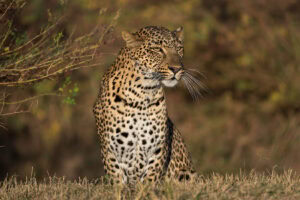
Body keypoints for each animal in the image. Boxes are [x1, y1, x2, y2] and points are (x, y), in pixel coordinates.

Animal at [92, 25, 203, 185]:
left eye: (179, 48)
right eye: (158, 49)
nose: (176, 69)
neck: (142, 94)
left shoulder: (158, 149)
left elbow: (150, 178)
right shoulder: (110, 149)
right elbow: (117, 179)